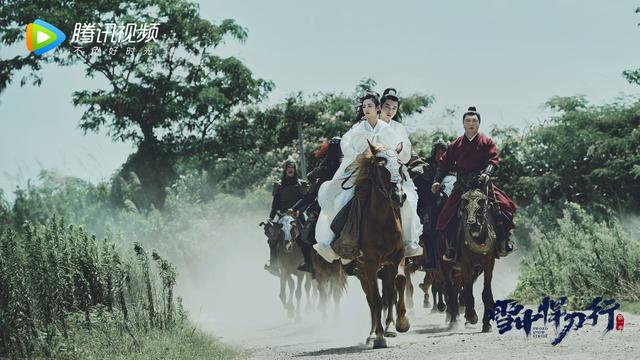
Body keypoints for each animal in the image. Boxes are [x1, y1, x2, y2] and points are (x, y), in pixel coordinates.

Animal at [350, 141, 410, 348]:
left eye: (400, 166)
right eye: (381, 168)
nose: (399, 196)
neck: (382, 221)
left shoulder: (397, 256)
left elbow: (398, 283)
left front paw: (401, 323)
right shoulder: (369, 263)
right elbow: (375, 299)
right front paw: (379, 336)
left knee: (389, 293)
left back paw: (390, 326)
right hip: (362, 271)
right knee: (371, 298)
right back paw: (373, 333)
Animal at [440, 176, 500, 332]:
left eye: (481, 204)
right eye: (464, 207)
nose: (473, 225)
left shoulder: (488, 264)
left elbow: (486, 293)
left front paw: (486, 323)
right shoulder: (466, 265)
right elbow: (467, 292)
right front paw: (472, 316)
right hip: (446, 266)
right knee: (451, 291)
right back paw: (453, 321)